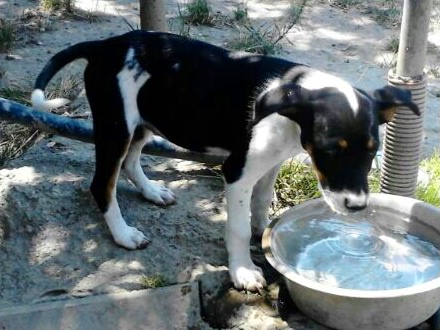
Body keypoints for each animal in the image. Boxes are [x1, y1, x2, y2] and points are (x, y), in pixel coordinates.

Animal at [31, 29, 420, 290]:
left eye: (371, 150)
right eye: (329, 150)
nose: (357, 207)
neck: (291, 108)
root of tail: (105, 45)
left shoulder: (270, 164)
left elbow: (262, 202)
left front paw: (264, 230)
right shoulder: (237, 172)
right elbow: (236, 227)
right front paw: (243, 270)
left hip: (143, 119)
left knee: (129, 163)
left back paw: (152, 192)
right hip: (116, 125)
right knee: (102, 184)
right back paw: (124, 234)